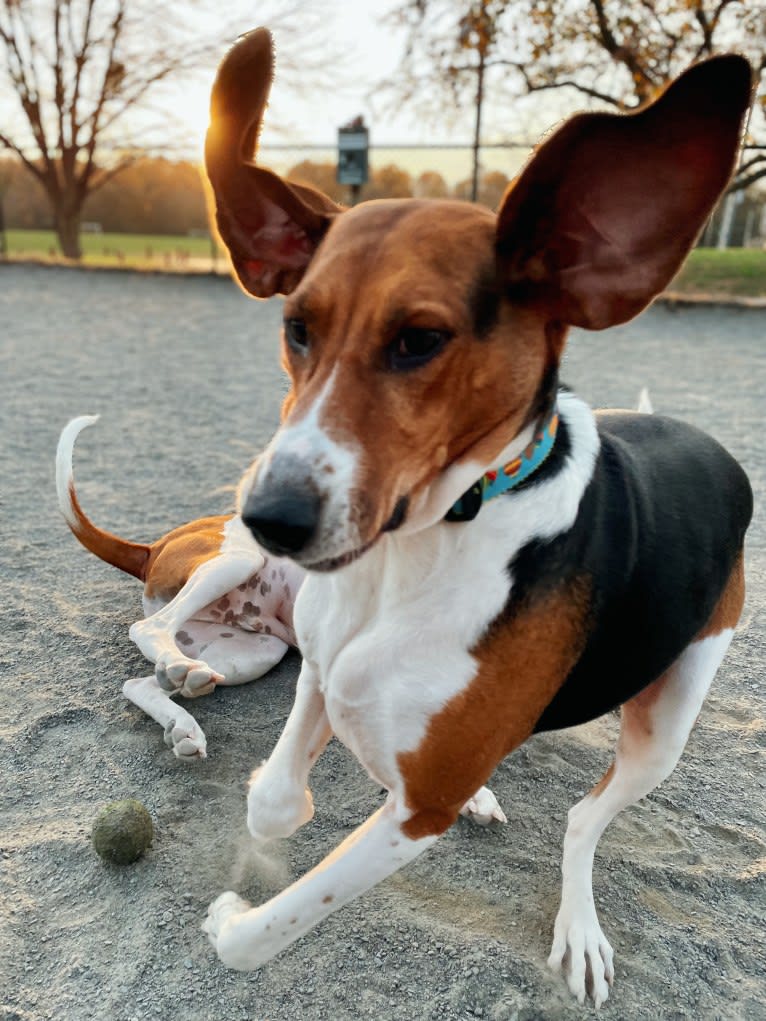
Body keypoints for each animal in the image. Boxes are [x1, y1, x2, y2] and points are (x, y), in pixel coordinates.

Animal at [192, 29, 755, 1004]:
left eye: (419, 339)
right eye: (297, 327)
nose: (268, 519)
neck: (417, 549)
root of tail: (705, 437)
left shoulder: (420, 811)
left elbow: (261, 934)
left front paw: (235, 917)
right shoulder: (326, 667)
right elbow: (274, 796)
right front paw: (281, 805)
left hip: (670, 722)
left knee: (583, 818)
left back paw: (580, 921)